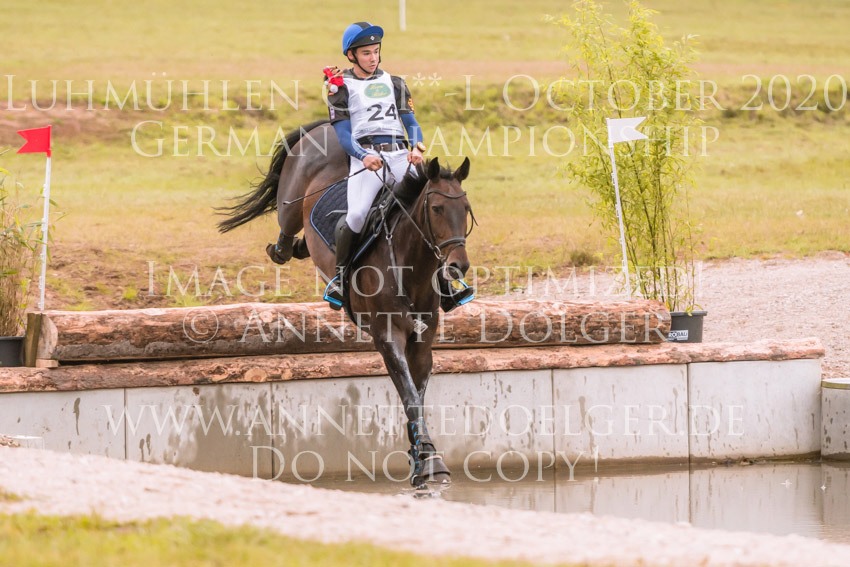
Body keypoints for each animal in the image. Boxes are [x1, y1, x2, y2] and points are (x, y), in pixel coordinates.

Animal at [217, 120, 474, 486]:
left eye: (465, 210)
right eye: (437, 209)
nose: (457, 266)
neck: (410, 269)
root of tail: (324, 127)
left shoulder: (422, 342)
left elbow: (417, 394)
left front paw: (420, 457)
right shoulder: (387, 338)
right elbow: (409, 395)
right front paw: (429, 460)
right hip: (291, 205)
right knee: (289, 231)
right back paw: (283, 250)